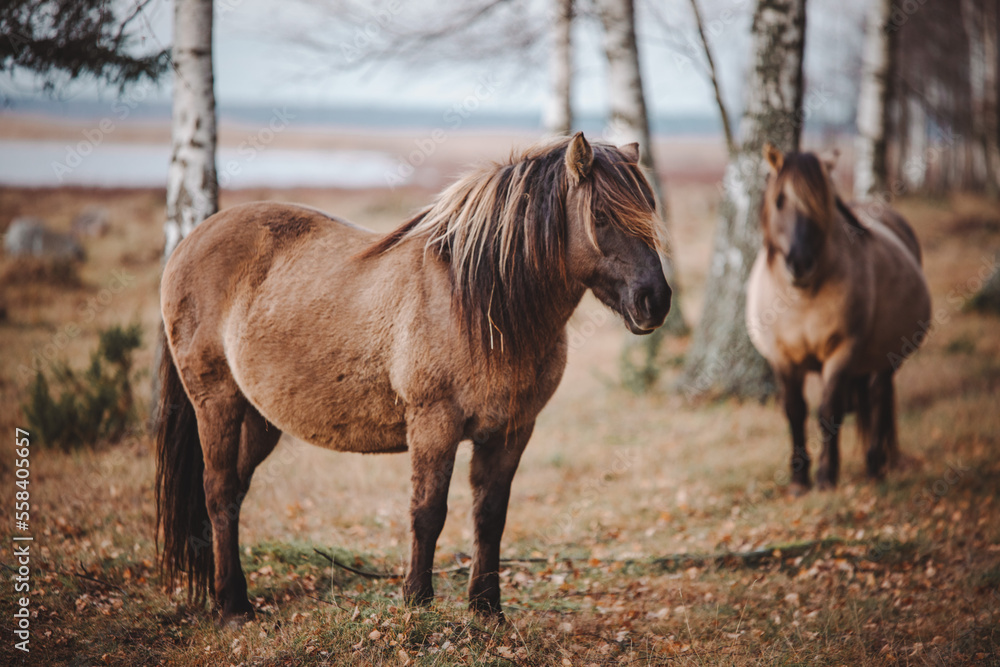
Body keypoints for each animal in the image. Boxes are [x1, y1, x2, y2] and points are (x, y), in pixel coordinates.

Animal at [155, 132, 672, 623]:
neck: (481, 307)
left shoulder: (511, 431)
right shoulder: (433, 425)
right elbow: (428, 513)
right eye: (601, 214)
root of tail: (189, 242)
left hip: (261, 419)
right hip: (216, 402)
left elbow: (490, 516)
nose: (656, 301)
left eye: (648, 209)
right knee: (218, 491)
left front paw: (487, 610)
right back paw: (234, 608)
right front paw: (417, 603)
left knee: (234, 493)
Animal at [746, 144, 931, 494]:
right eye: (780, 201)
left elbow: (828, 411)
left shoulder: (842, 352)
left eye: (822, 203)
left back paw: (875, 466)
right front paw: (798, 480)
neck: (801, 298)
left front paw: (825, 477)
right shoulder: (782, 359)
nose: (799, 263)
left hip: (885, 358)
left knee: (878, 397)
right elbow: (795, 411)